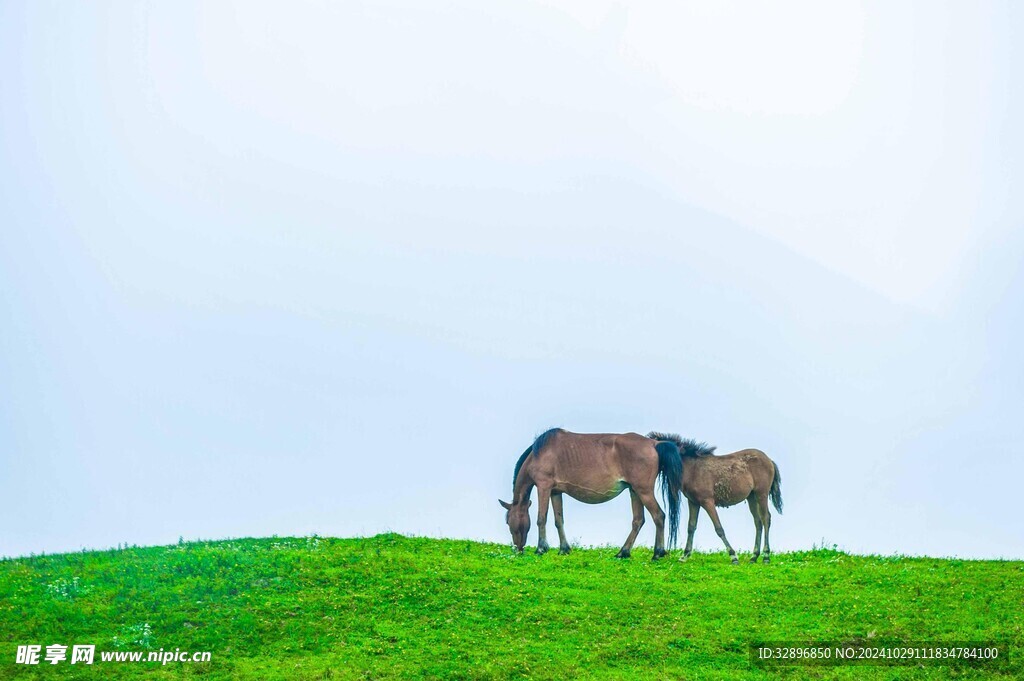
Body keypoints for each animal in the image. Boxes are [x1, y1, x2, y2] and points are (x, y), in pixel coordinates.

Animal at [499, 430, 684, 557]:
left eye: (508, 521)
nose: (518, 549)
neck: (539, 454)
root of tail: (654, 444)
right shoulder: (555, 492)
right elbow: (559, 520)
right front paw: (564, 549)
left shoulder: (543, 487)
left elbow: (541, 518)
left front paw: (541, 548)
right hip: (634, 491)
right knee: (638, 521)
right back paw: (623, 553)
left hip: (643, 491)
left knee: (659, 516)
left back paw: (657, 553)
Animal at [647, 432, 782, 565]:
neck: (692, 469)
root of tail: (769, 460)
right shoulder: (693, 502)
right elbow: (691, 527)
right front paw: (684, 556)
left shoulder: (707, 502)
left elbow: (719, 528)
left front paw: (733, 556)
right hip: (751, 497)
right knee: (758, 522)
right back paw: (754, 557)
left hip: (761, 494)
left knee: (766, 518)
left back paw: (766, 556)